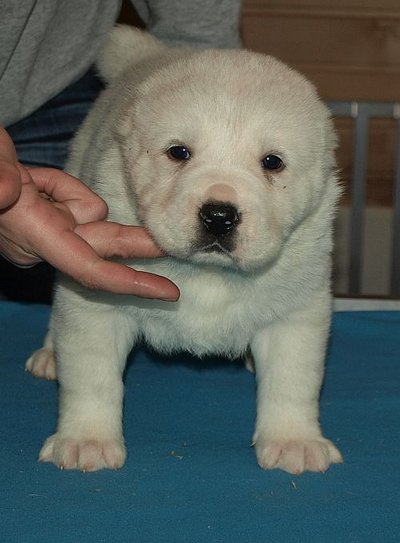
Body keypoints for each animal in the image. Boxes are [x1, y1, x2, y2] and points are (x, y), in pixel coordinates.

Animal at [26, 26, 342, 476]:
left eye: (273, 162)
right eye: (179, 152)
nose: (219, 216)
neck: (208, 274)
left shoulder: (297, 311)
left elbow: (293, 381)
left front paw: (293, 441)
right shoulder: (97, 305)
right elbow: (92, 377)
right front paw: (86, 440)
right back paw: (51, 354)